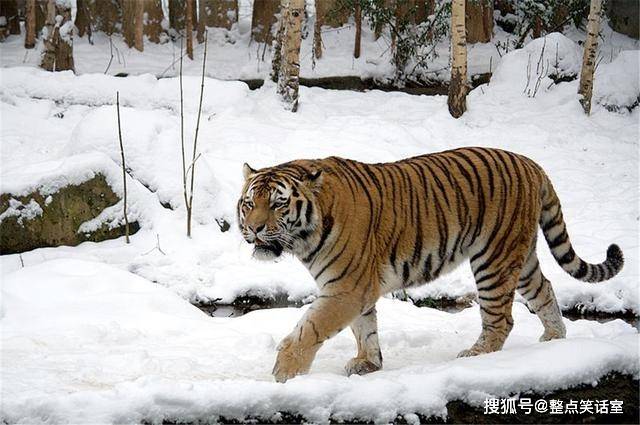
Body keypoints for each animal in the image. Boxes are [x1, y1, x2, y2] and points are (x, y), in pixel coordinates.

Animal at [238, 147, 624, 382]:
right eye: (249, 203)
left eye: (278, 204)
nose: (253, 228)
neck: (306, 235)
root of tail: (532, 164)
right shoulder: (355, 288)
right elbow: (365, 328)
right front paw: (369, 363)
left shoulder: (345, 289)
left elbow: (309, 329)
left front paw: (284, 374)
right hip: (520, 255)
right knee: (544, 289)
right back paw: (553, 340)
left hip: (493, 259)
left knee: (501, 318)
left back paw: (477, 355)